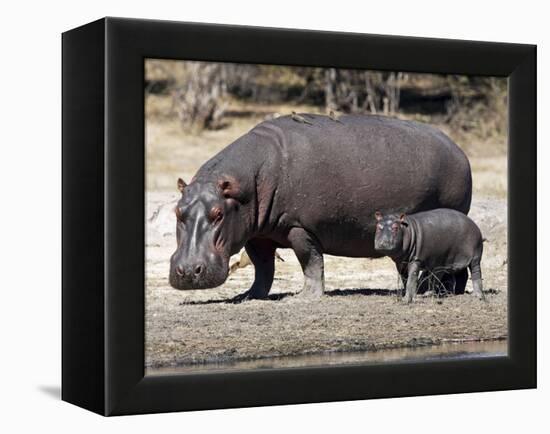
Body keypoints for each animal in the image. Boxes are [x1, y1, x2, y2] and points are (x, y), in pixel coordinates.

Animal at [169, 113, 474, 300]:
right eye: (177, 211)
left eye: (218, 213)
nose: (188, 271)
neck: (243, 186)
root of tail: (459, 150)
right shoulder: (257, 233)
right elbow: (263, 267)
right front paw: (249, 296)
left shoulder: (300, 227)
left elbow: (311, 261)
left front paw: (305, 297)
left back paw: (439, 292)